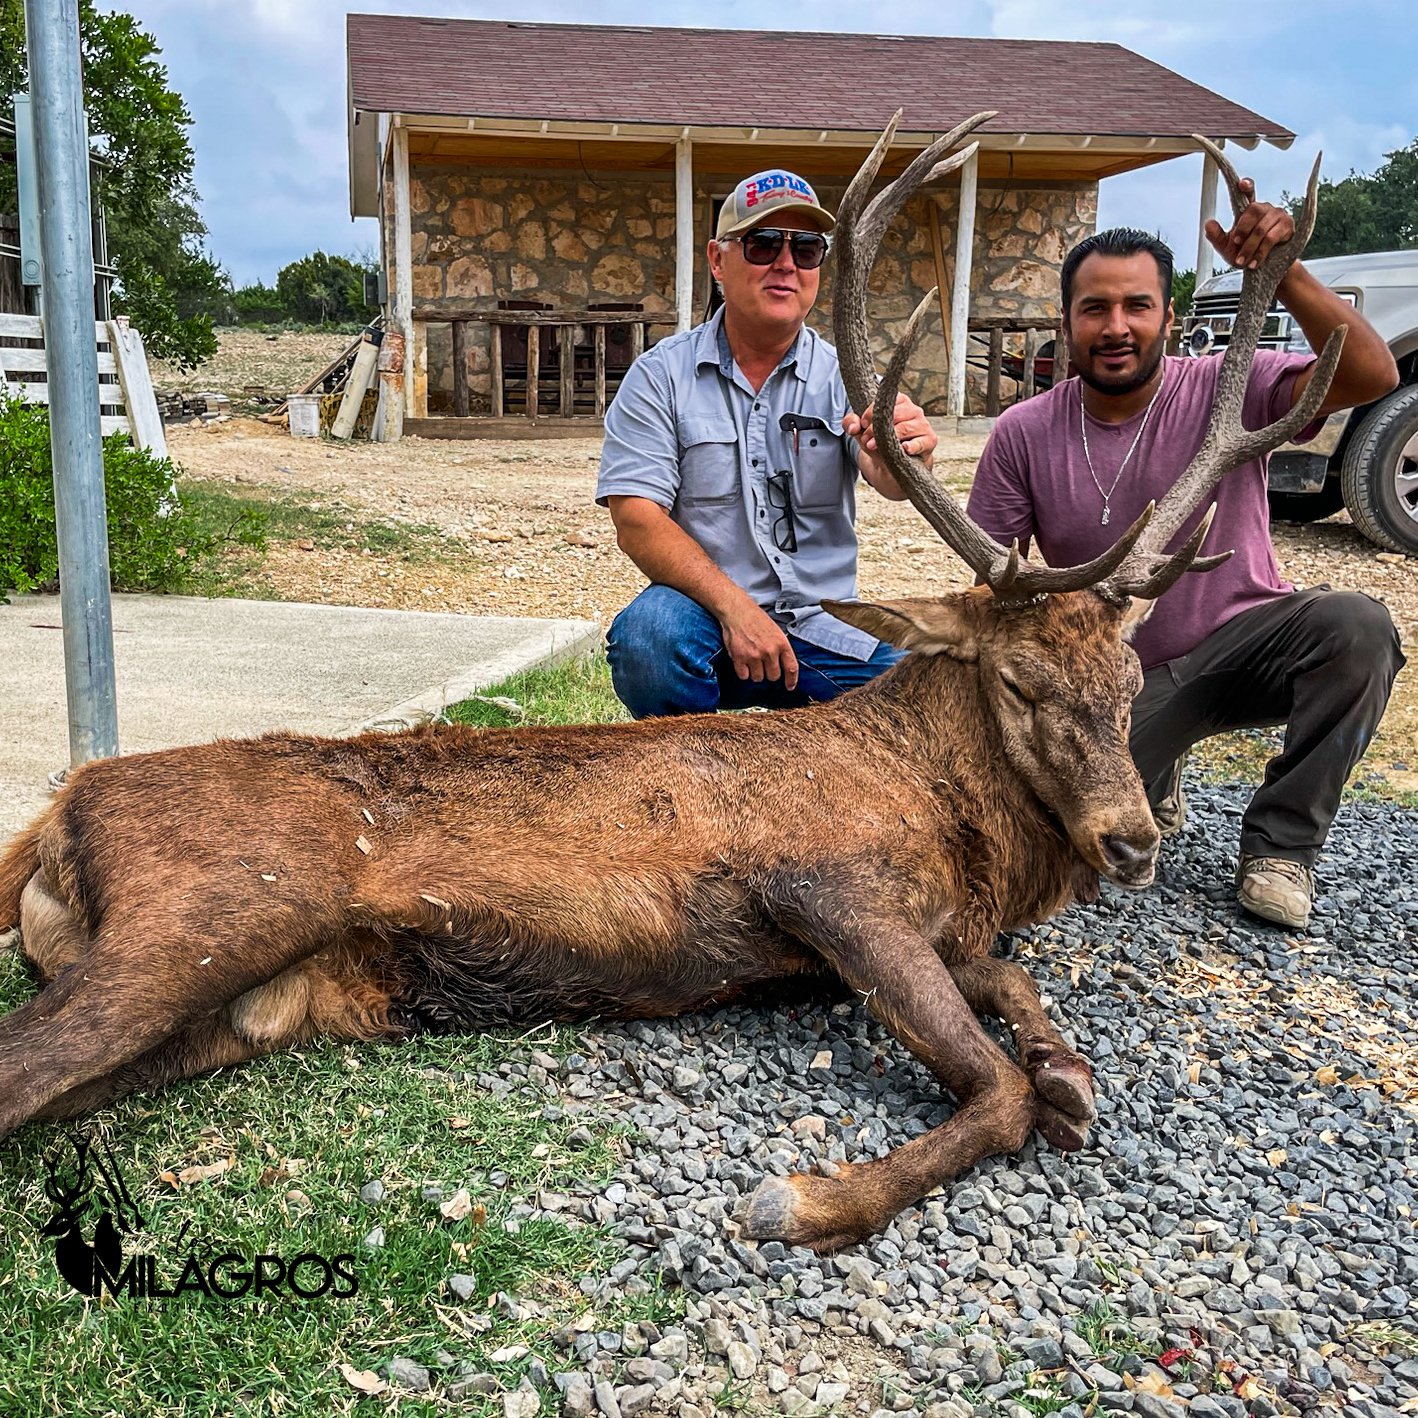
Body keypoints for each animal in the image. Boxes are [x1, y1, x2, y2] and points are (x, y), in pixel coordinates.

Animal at [0, 119, 1338, 1253]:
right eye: (1016, 678)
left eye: (1127, 672)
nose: (1129, 839)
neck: (955, 829)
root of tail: (55, 817)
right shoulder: (826, 880)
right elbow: (992, 1081)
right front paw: (807, 1196)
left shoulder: (938, 927)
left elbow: (1017, 994)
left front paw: (1066, 1069)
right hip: (212, 907)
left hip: (243, 1000)